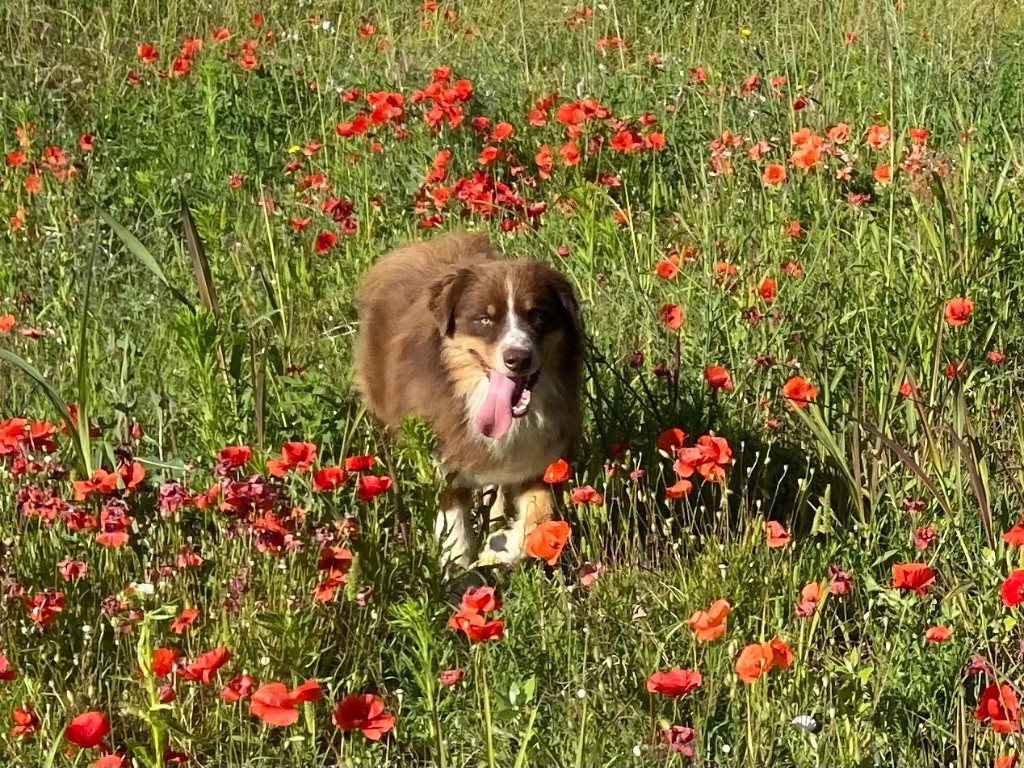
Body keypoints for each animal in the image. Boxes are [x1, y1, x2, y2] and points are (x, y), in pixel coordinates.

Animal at [352, 231, 581, 569]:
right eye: (484, 319)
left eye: (538, 316)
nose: (518, 359)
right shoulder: (444, 454)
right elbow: (453, 525)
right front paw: (457, 569)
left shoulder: (540, 458)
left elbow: (540, 516)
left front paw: (499, 546)